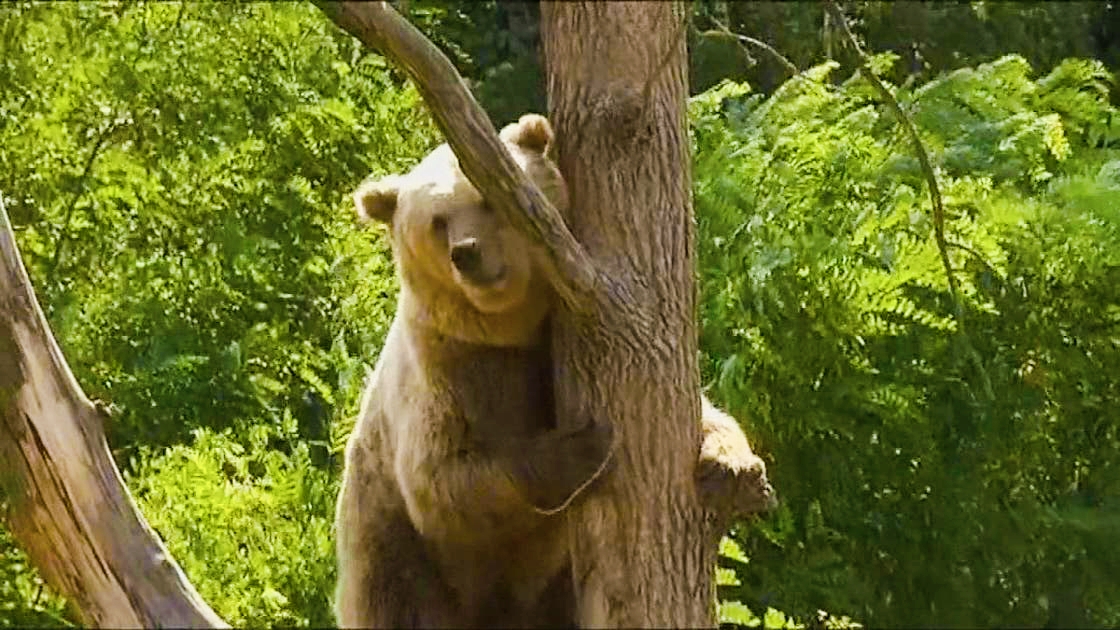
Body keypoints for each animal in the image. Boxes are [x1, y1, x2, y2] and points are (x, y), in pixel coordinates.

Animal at [334, 113, 774, 629]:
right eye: (437, 221)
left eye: (488, 199)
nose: (467, 252)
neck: (514, 329)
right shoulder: (448, 373)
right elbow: (440, 481)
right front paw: (582, 447)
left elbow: (704, 415)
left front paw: (734, 469)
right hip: (391, 550)